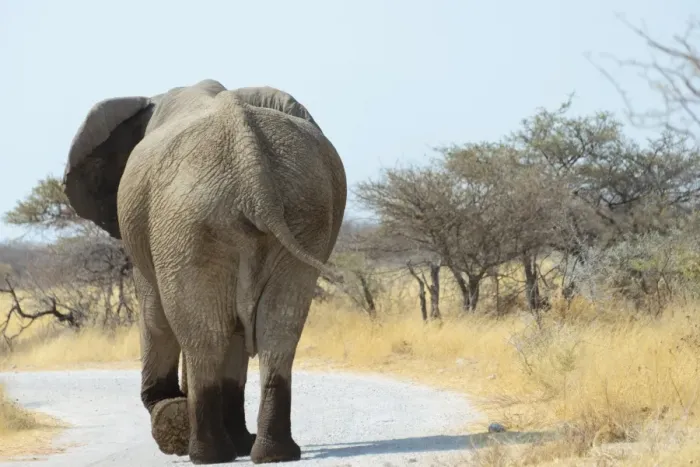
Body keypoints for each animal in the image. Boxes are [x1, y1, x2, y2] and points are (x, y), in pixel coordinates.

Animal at [61, 79, 347, 464]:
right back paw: (273, 453)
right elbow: (238, 331)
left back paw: (206, 453)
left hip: (185, 221)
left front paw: (171, 416)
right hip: (302, 209)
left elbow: (154, 314)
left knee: (204, 336)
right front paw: (236, 440)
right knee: (278, 328)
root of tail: (249, 160)